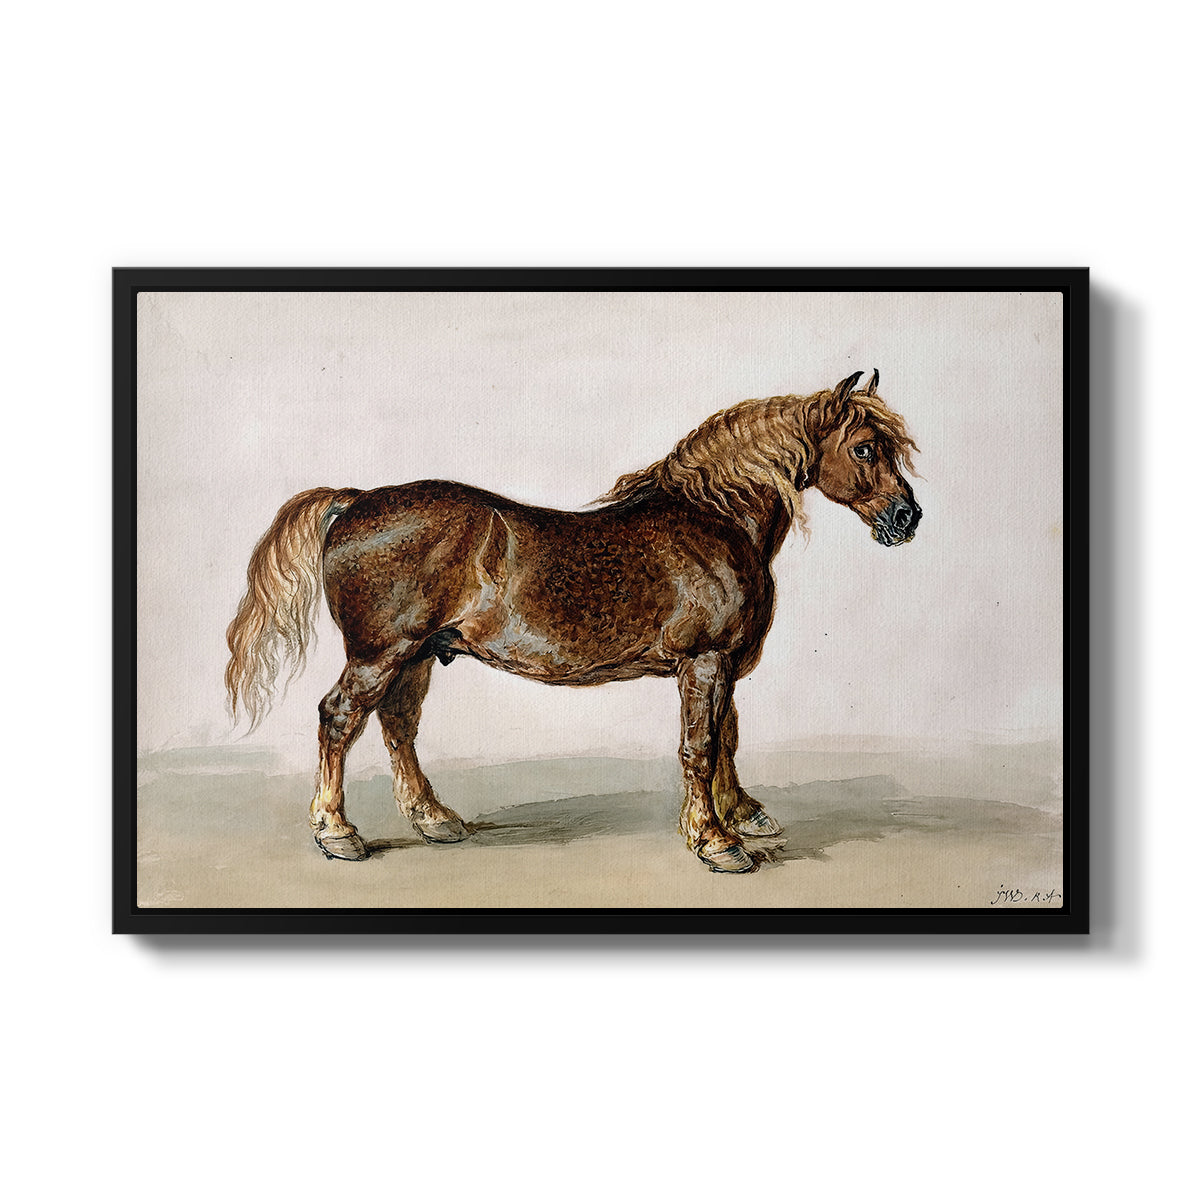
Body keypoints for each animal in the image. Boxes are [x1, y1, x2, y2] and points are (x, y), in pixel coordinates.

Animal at [225, 370, 921, 874]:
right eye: (864, 448)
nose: (906, 518)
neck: (713, 522)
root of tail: (356, 502)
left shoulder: (723, 664)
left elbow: (725, 740)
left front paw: (742, 816)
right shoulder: (704, 660)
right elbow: (700, 747)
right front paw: (716, 843)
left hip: (417, 654)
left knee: (398, 726)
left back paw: (435, 819)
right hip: (380, 653)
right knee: (340, 719)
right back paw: (337, 834)